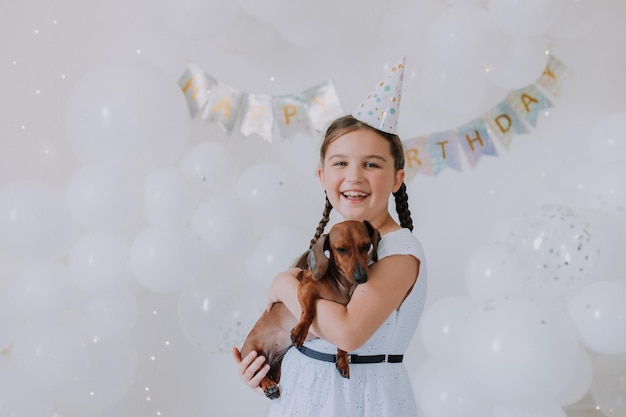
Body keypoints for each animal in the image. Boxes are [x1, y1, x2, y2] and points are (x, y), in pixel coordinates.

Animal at [238, 219, 378, 398]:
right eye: (341, 249)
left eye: (366, 245)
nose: (361, 278)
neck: (339, 284)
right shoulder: (306, 289)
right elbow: (309, 312)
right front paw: (299, 332)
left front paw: (343, 360)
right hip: (253, 355)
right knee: (260, 374)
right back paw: (268, 386)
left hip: (275, 364)